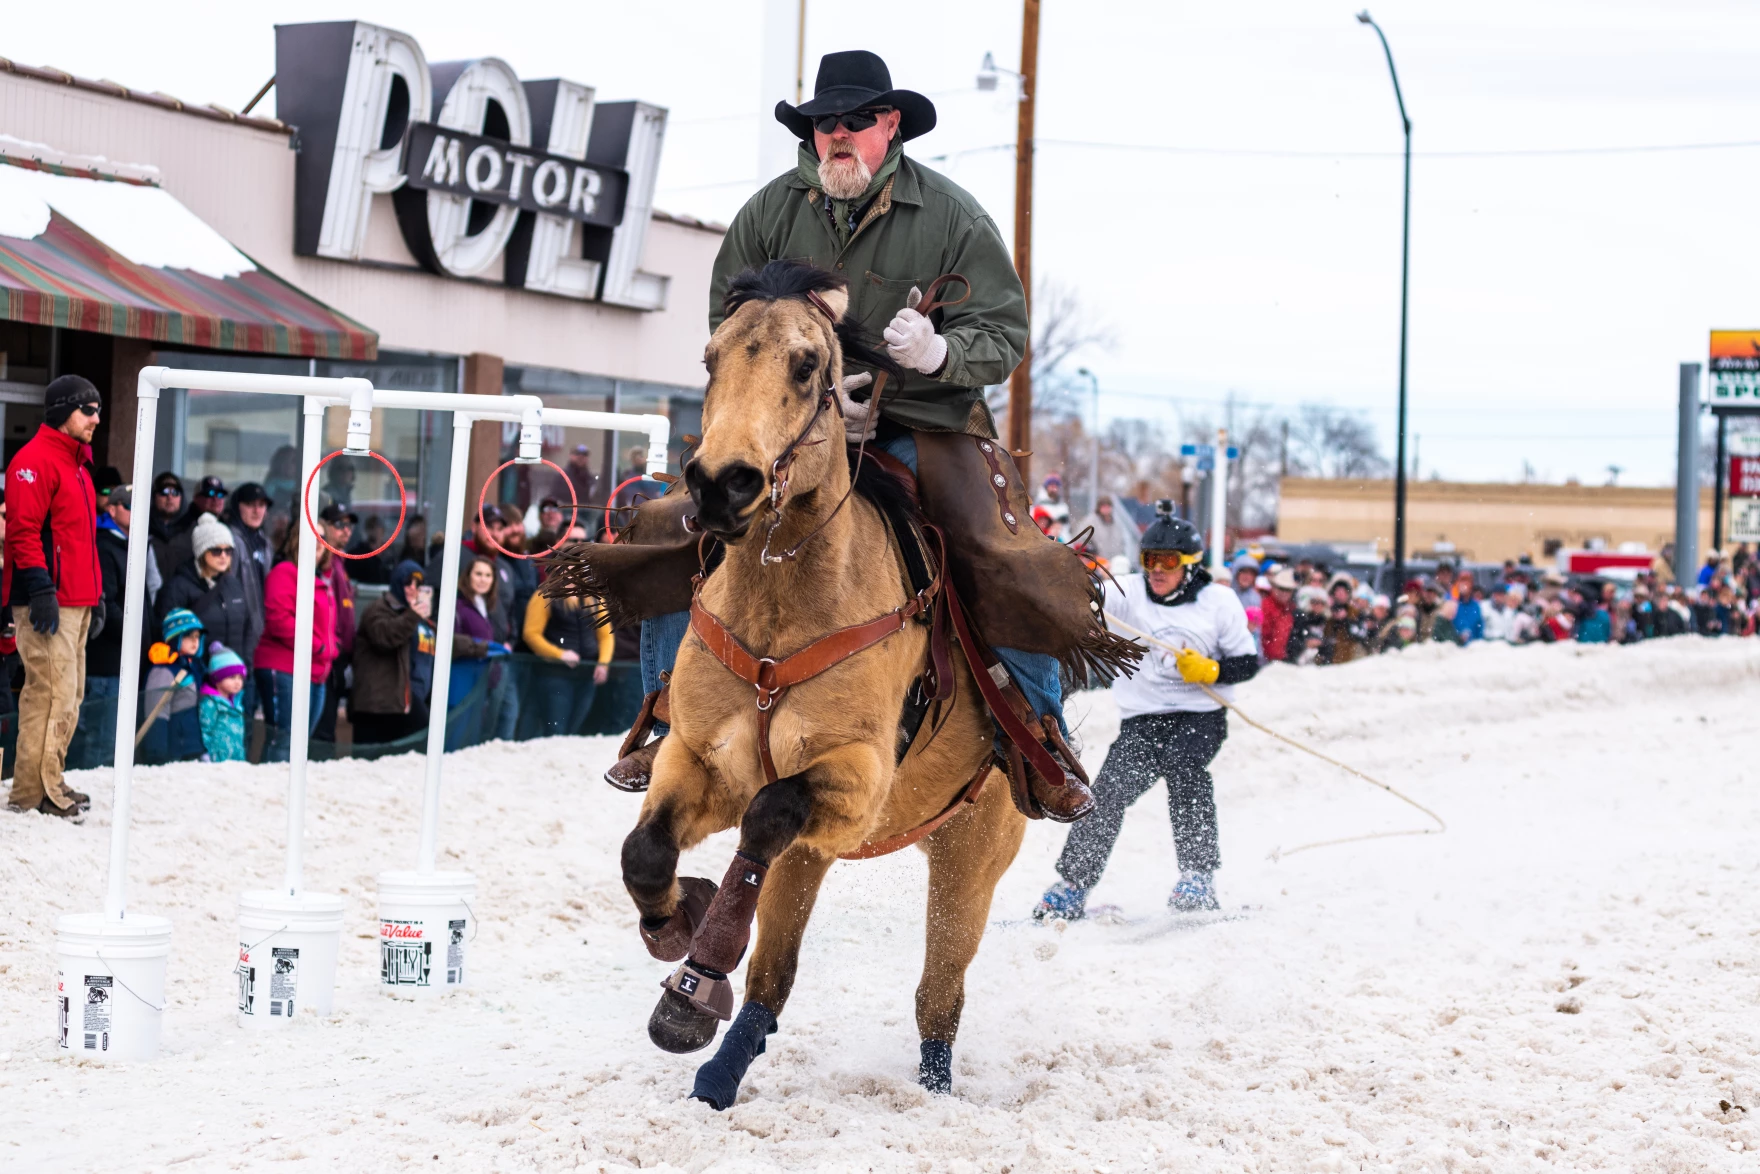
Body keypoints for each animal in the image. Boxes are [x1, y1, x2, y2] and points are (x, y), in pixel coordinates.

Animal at [605, 258, 1027, 1112]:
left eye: (807, 366)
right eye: (710, 358)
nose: (721, 484)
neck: (782, 604)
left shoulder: (856, 778)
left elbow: (770, 811)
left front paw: (690, 985)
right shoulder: (700, 759)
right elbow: (647, 852)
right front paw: (679, 923)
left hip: (971, 853)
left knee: (937, 993)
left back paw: (932, 1089)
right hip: (818, 857)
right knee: (772, 978)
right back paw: (717, 1069)